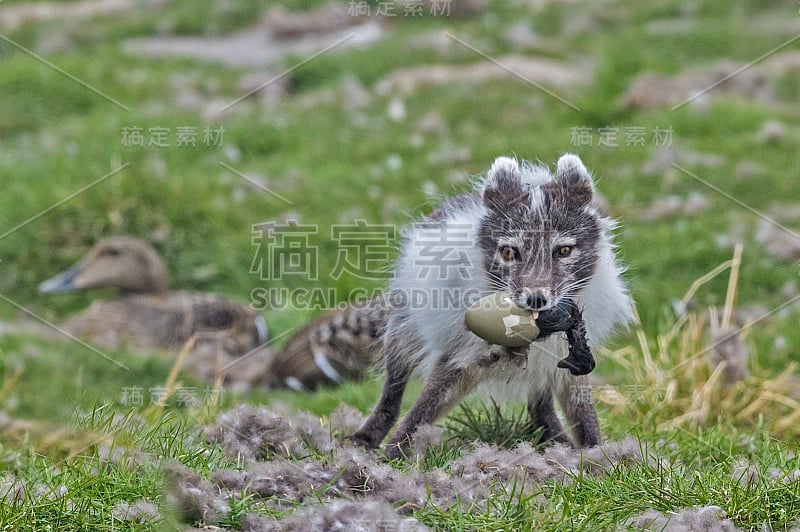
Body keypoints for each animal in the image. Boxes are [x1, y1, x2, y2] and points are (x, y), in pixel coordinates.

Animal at [354, 153, 636, 458]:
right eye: (509, 252)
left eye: (563, 251)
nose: (536, 299)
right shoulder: (459, 354)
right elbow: (422, 409)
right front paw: (392, 454)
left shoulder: (566, 359)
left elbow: (584, 414)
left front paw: (596, 454)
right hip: (404, 325)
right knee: (394, 384)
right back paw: (368, 433)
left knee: (539, 402)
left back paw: (555, 437)